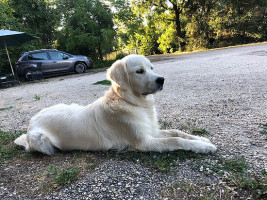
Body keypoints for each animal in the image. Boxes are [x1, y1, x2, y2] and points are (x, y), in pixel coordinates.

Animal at [14, 55, 218, 156]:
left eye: (151, 68)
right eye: (139, 71)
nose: (161, 80)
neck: (134, 103)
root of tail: (31, 121)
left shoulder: (151, 131)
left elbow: (176, 132)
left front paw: (201, 139)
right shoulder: (144, 142)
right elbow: (175, 140)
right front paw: (204, 147)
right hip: (40, 140)